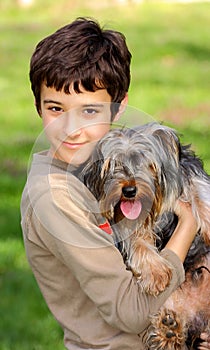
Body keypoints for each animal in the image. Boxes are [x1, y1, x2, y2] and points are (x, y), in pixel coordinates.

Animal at [81, 121, 210, 296]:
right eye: (113, 165)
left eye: (146, 163)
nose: (129, 191)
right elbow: (135, 238)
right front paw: (155, 271)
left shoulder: (188, 169)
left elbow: (199, 187)